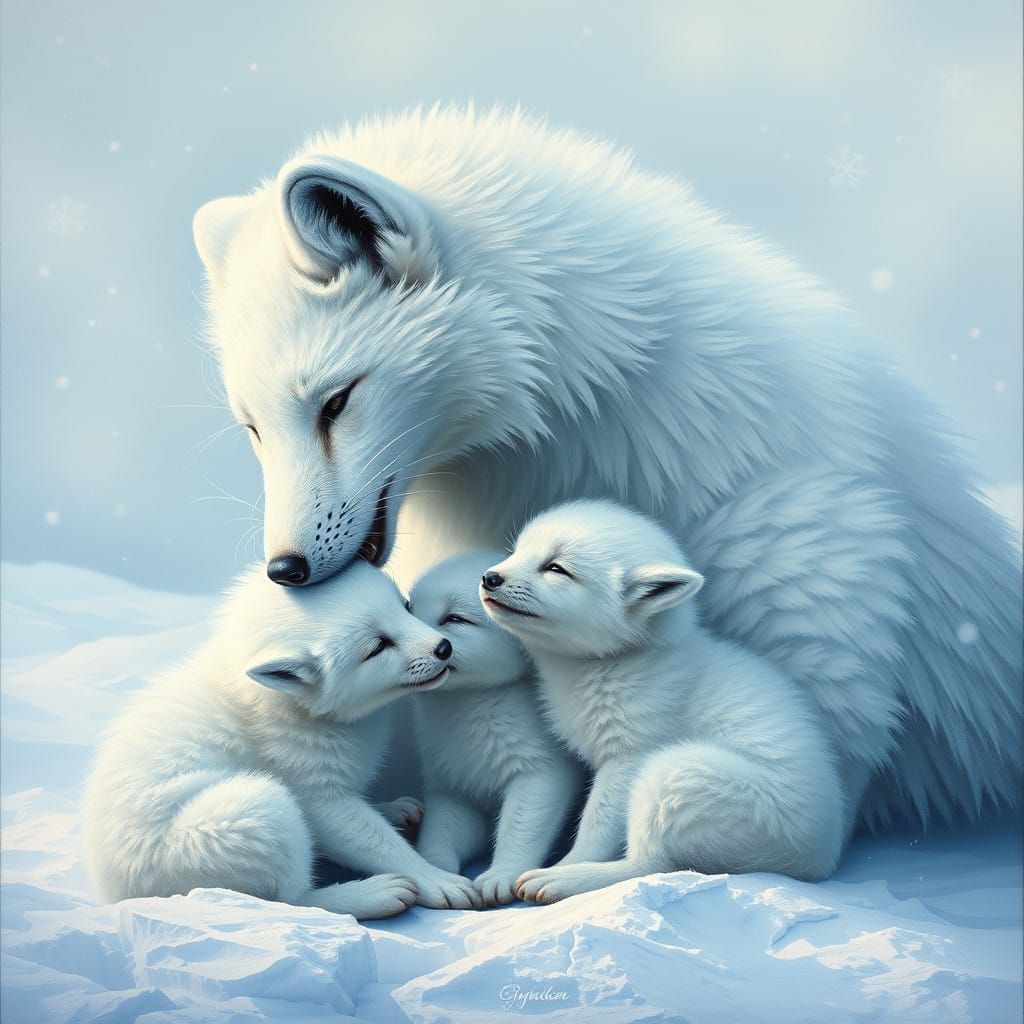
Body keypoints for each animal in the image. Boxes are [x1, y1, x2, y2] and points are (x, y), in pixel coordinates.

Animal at [83, 561, 484, 917]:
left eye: (405, 607)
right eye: (378, 646)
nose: (443, 648)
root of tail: (114, 887)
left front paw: (388, 809)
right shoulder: (313, 792)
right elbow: (373, 840)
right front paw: (435, 879)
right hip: (259, 808)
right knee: (292, 900)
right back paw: (373, 894)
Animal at [408, 551, 584, 905]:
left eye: (455, 619)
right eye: (407, 607)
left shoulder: (544, 771)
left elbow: (521, 826)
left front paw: (502, 875)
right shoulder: (452, 787)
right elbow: (440, 829)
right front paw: (438, 872)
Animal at [481, 500, 846, 900]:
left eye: (556, 568)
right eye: (517, 552)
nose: (489, 577)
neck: (612, 661)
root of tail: (821, 858)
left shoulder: (630, 755)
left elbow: (597, 823)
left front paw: (568, 864)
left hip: (674, 772)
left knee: (651, 865)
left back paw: (566, 879)